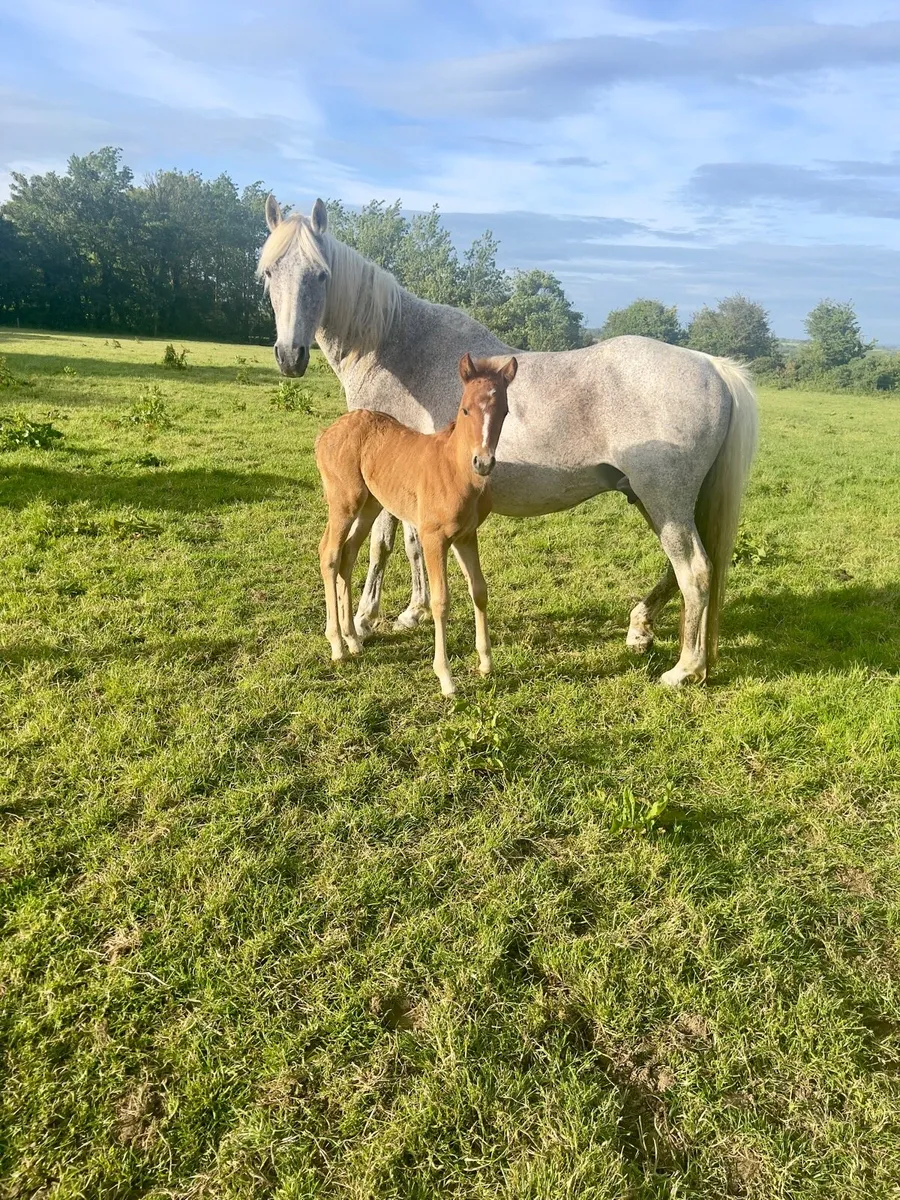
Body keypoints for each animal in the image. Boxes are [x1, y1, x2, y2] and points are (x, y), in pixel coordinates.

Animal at [315, 352, 517, 695]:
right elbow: (440, 600)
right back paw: (337, 646)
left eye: (503, 411)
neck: (454, 468)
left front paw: (486, 663)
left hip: (371, 504)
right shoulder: (433, 537)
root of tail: (327, 433)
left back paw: (353, 639)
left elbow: (479, 590)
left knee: (348, 554)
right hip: (344, 501)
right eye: (465, 409)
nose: (483, 462)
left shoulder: (466, 536)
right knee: (329, 553)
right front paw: (446, 677)